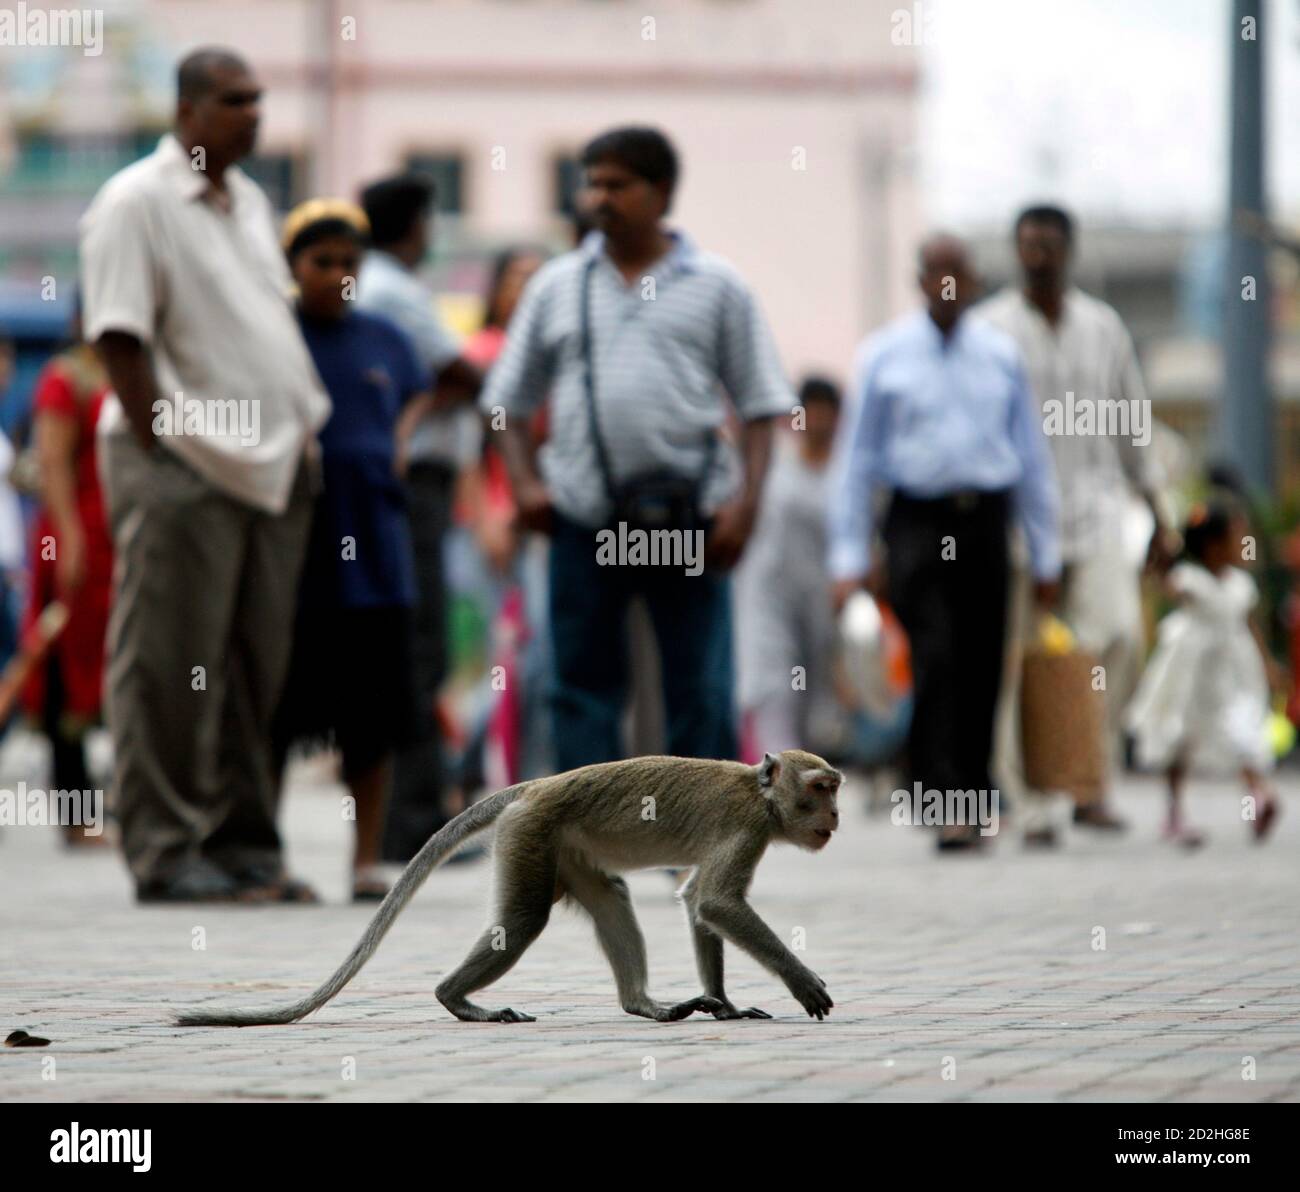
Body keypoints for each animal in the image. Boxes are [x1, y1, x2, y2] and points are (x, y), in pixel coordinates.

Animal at [175, 749, 841, 1027]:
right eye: (820, 788)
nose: (836, 816)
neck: (761, 793)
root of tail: (534, 786)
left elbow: (699, 901)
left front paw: (724, 1004)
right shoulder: (749, 827)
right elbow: (717, 901)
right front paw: (803, 982)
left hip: (561, 846)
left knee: (610, 897)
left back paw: (643, 1005)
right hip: (531, 833)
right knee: (521, 923)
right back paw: (456, 998)